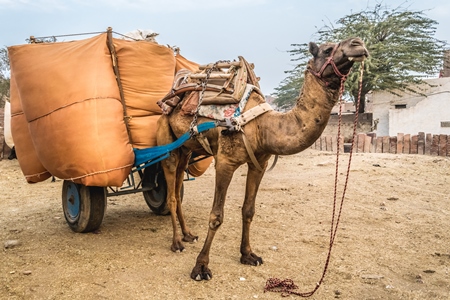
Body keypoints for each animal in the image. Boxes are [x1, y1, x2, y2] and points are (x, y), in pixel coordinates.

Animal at [156, 37, 368, 282]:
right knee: (171, 195)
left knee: (178, 187)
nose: (358, 44)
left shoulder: (259, 163)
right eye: (326, 50)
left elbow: (248, 210)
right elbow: (216, 215)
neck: (263, 126)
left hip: (186, 149)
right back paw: (176, 242)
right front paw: (201, 267)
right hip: (167, 143)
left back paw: (188, 234)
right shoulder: (225, 162)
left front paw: (248, 255)